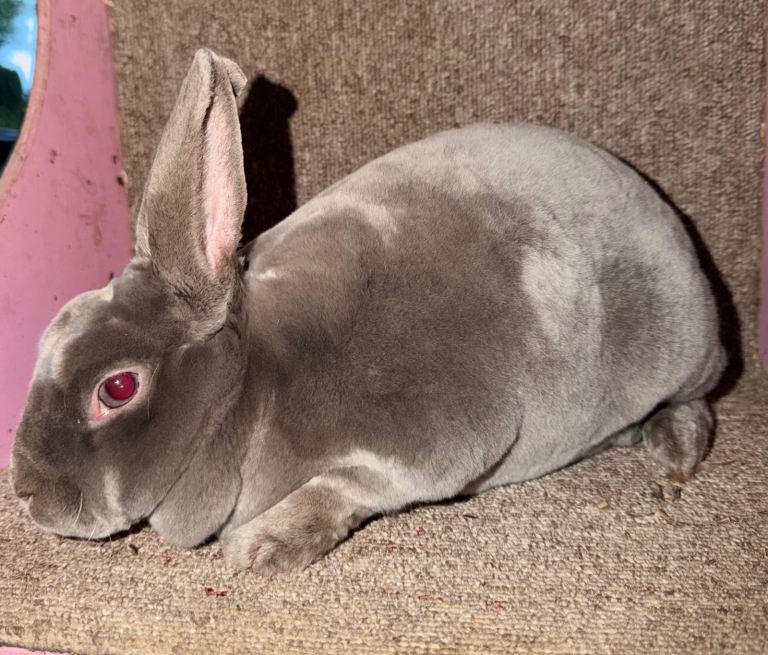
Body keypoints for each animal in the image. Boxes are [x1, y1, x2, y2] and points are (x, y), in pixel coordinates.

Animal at [10, 49, 725, 573]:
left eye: (117, 389)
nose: (25, 491)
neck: (253, 383)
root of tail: (677, 232)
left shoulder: (438, 438)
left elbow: (348, 485)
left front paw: (262, 548)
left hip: (682, 351)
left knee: (698, 402)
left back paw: (673, 455)